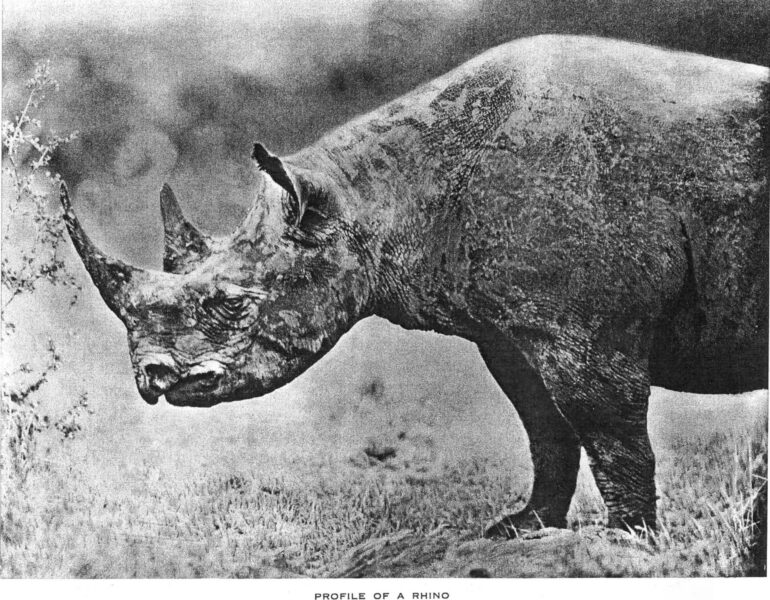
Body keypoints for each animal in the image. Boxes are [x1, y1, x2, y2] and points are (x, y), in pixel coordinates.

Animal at [60, 35, 768, 537]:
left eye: (233, 304)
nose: (153, 378)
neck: (375, 197)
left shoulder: (583, 329)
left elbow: (608, 429)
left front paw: (627, 541)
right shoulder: (510, 330)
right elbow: (545, 426)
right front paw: (522, 529)